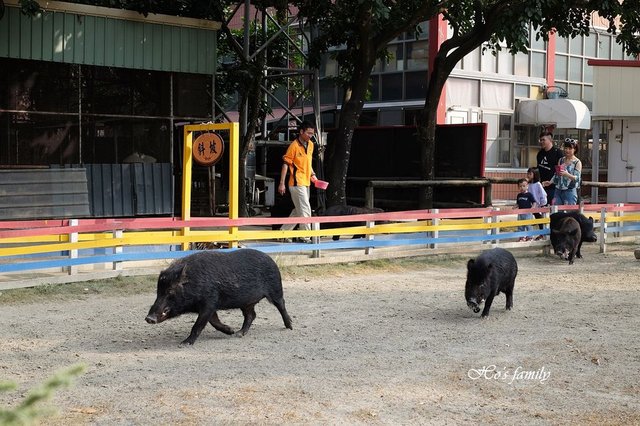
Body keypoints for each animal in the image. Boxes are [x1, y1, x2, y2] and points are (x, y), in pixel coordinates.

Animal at [145, 248, 292, 344]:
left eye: (170, 290)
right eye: (158, 291)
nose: (148, 318)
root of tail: (271, 259)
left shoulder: (209, 302)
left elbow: (198, 325)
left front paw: (184, 343)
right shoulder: (211, 305)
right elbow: (213, 321)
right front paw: (230, 331)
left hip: (275, 288)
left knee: (281, 305)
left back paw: (289, 326)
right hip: (246, 303)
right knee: (251, 315)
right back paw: (238, 334)